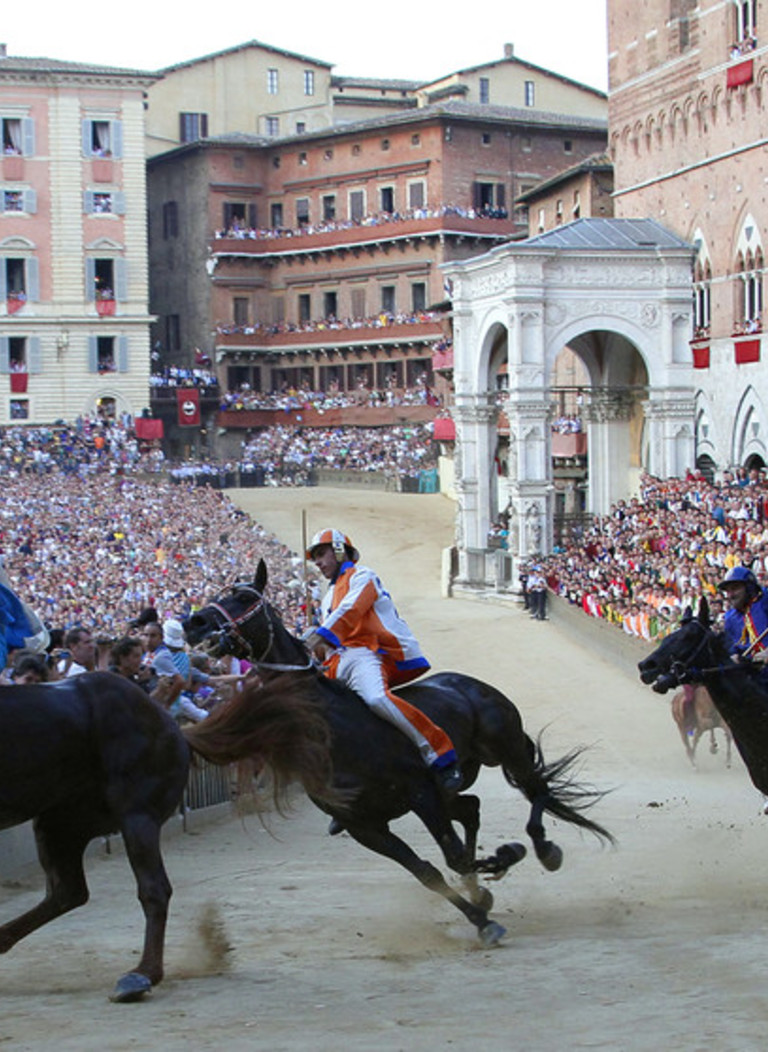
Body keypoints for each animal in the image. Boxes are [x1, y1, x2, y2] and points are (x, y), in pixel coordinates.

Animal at [0, 669, 334, 997]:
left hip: (136, 818)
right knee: (67, 891)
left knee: (152, 889)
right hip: (61, 824)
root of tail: (172, 726)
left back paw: (141, 975)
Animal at [182, 563, 614, 951]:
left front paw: (501, 862)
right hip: (452, 785)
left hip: (503, 751)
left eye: (242, 598)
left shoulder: (419, 792)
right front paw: (481, 914)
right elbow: (428, 872)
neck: (332, 727)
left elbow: (454, 858)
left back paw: (543, 849)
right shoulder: (364, 825)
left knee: (535, 791)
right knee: (473, 807)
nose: (194, 623)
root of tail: (472, 686)